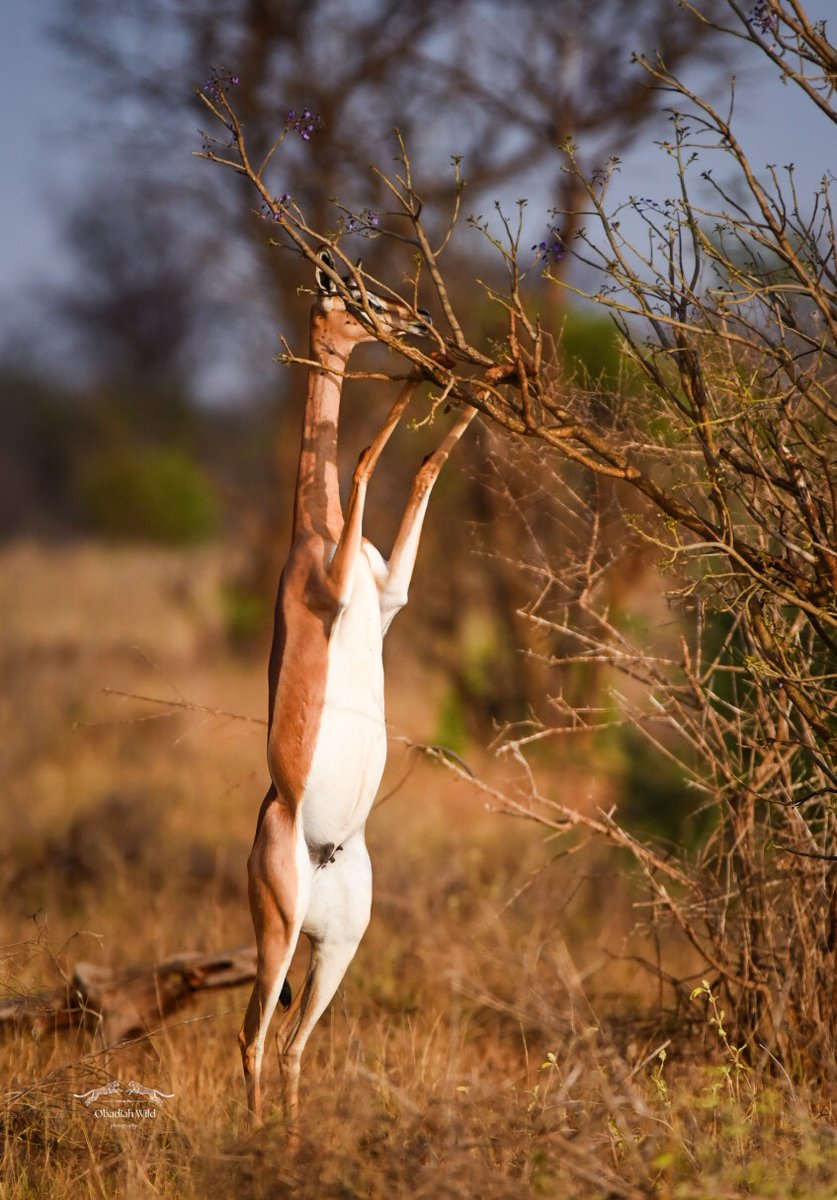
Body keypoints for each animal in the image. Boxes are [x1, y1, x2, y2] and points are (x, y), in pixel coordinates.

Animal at [239, 249, 475, 1122]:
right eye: (351, 293)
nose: (413, 318)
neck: (316, 533)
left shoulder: (389, 595)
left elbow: (425, 471)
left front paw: (482, 374)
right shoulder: (342, 585)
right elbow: (372, 457)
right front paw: (423, 374)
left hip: (338, 945)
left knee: (294, 1046)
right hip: (278, 934)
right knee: (251, 1040)